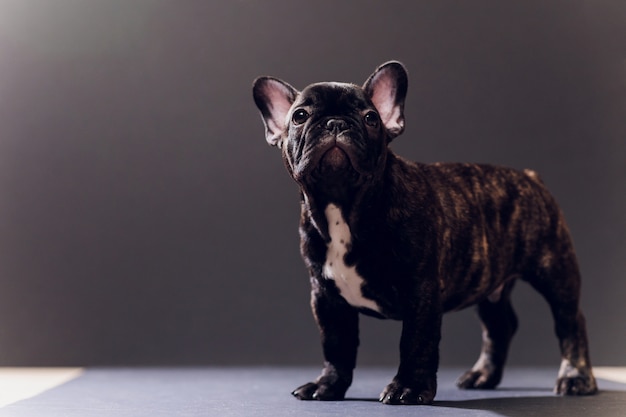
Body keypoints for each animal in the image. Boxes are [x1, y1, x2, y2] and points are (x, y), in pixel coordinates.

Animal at [250, 61, 596, 404]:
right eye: (299, 116)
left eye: (371, 118)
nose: (336, 123)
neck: (343, 204)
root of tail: (531, 177)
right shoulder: (326, 298)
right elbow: (336, 345)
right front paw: (328, 385)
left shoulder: (421, 291)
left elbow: (416, 342)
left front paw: (409, 388)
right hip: (489, 282)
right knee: (499, 326)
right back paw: (483, 375)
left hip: (554, 270)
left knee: (569, 321)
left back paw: (576, 378)